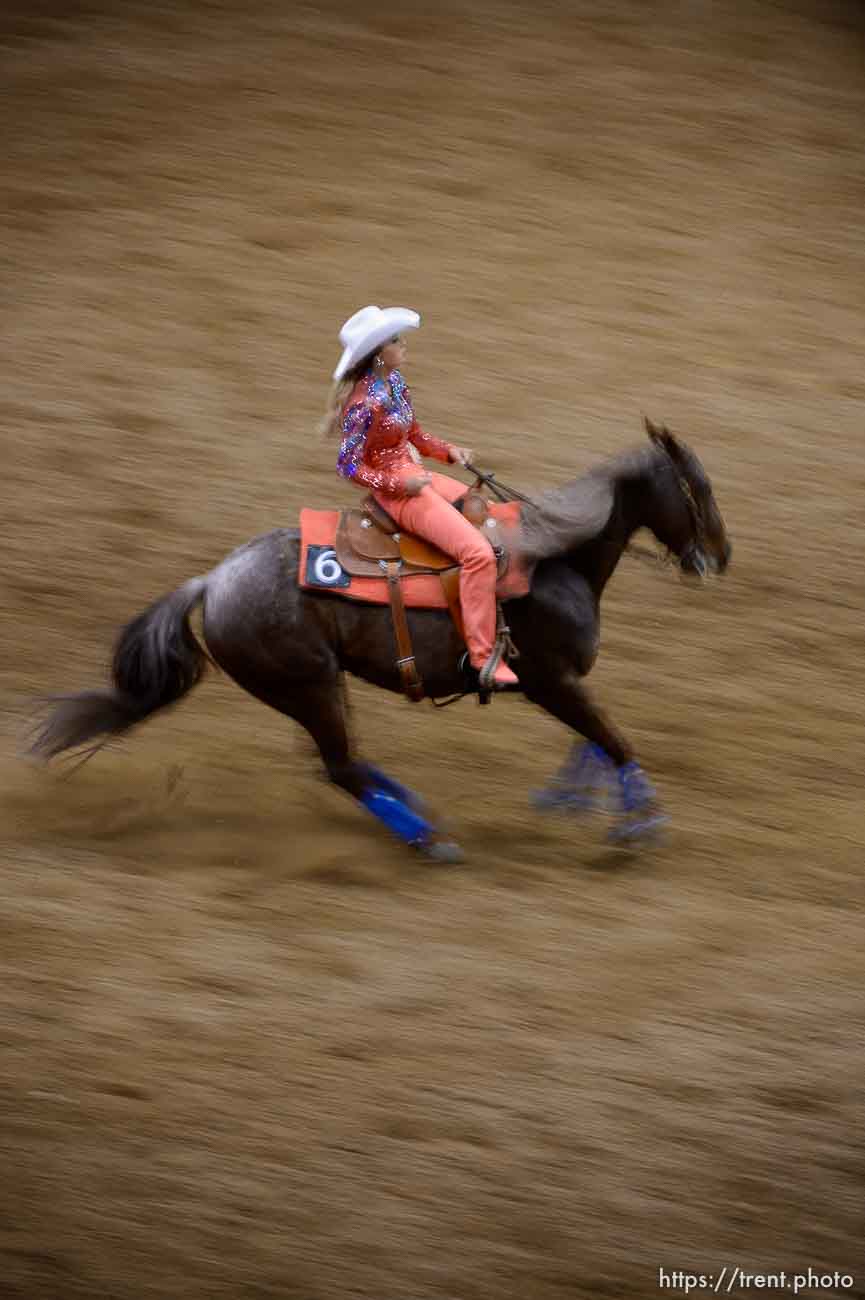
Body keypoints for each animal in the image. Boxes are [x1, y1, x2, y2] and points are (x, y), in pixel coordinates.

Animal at [32, 421, 728, 857]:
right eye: (698, 486)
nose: (720, 557)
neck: (556, 559)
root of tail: (212, 581)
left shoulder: (560, 684)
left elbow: (595, 738)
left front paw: (572, 797)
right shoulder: (548, 681)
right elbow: (613, 738)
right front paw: (642, 822)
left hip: (315, 686)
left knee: (346, 763)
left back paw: (417, 810)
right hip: (307, 684)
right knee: (341, 766)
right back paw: (429, 838)